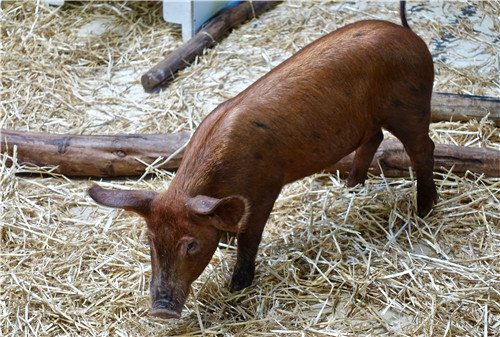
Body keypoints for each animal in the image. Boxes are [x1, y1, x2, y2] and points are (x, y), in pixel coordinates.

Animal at [89, 18, 438, 318]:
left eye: (190, 244)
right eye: (150, 241)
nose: (161, 312)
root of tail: (411, 36)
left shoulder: (265, 187)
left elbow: (249, 237)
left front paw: (236, 286)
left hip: (410, 106)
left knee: (424, 149)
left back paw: (424, 210)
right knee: (375, 137)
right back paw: (352, 187)